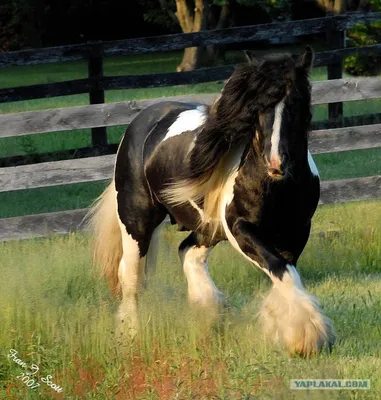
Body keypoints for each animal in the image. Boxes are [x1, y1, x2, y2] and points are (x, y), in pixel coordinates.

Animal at [88, 46, 332, 356]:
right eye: (257, 108)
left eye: (297, 102)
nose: (276, 163)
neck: (274, 187)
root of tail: (140, 124)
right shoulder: (240, 229)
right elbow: (280, 269)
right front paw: (306, 337)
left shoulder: (296, 232)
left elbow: (285, 273)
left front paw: (293, 333)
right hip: (136, 223)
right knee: (132, 280)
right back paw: (131, 338)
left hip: (206, 228)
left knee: (187, 251)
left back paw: (210, 312)